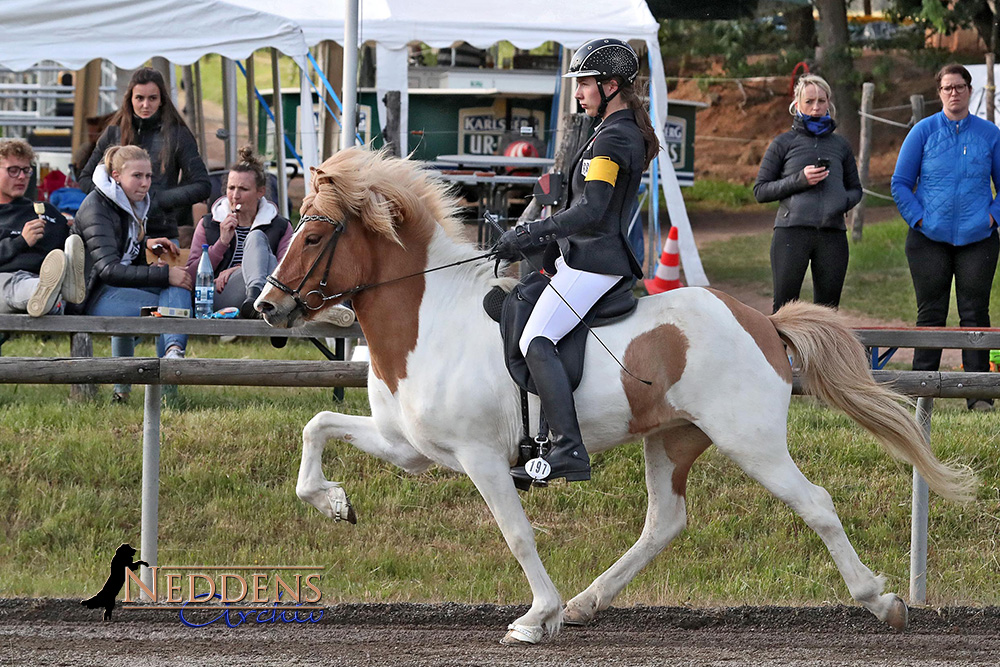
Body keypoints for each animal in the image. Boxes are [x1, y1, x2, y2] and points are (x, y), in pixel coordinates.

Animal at [258, 147, 976, 648]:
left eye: (315, 235)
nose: (266, 306)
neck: (429, 318)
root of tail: (762, 321)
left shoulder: (480, 457)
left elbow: (516, 532)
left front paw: (536, 616)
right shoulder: (408, 447)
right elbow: (317, 423)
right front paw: (333, 503)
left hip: (752, 441)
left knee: (816, 504)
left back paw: (881, 600)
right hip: (672, 438)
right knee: (665, 522)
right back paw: (586, 603)